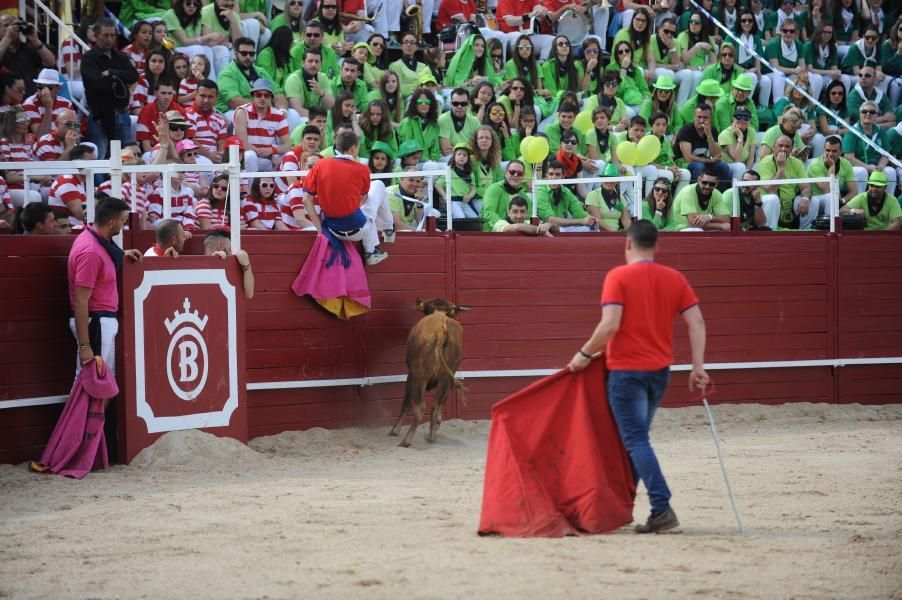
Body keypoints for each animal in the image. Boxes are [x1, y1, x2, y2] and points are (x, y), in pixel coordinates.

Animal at [390, 298, 470, 448]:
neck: (439, 313)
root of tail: (442, 332)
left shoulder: (410, 375)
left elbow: (406, 402)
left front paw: (394, 430)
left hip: (419, 376)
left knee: (420, 407)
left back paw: (406, 441)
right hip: (445, 379)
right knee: (435, 405)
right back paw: (432, 436)